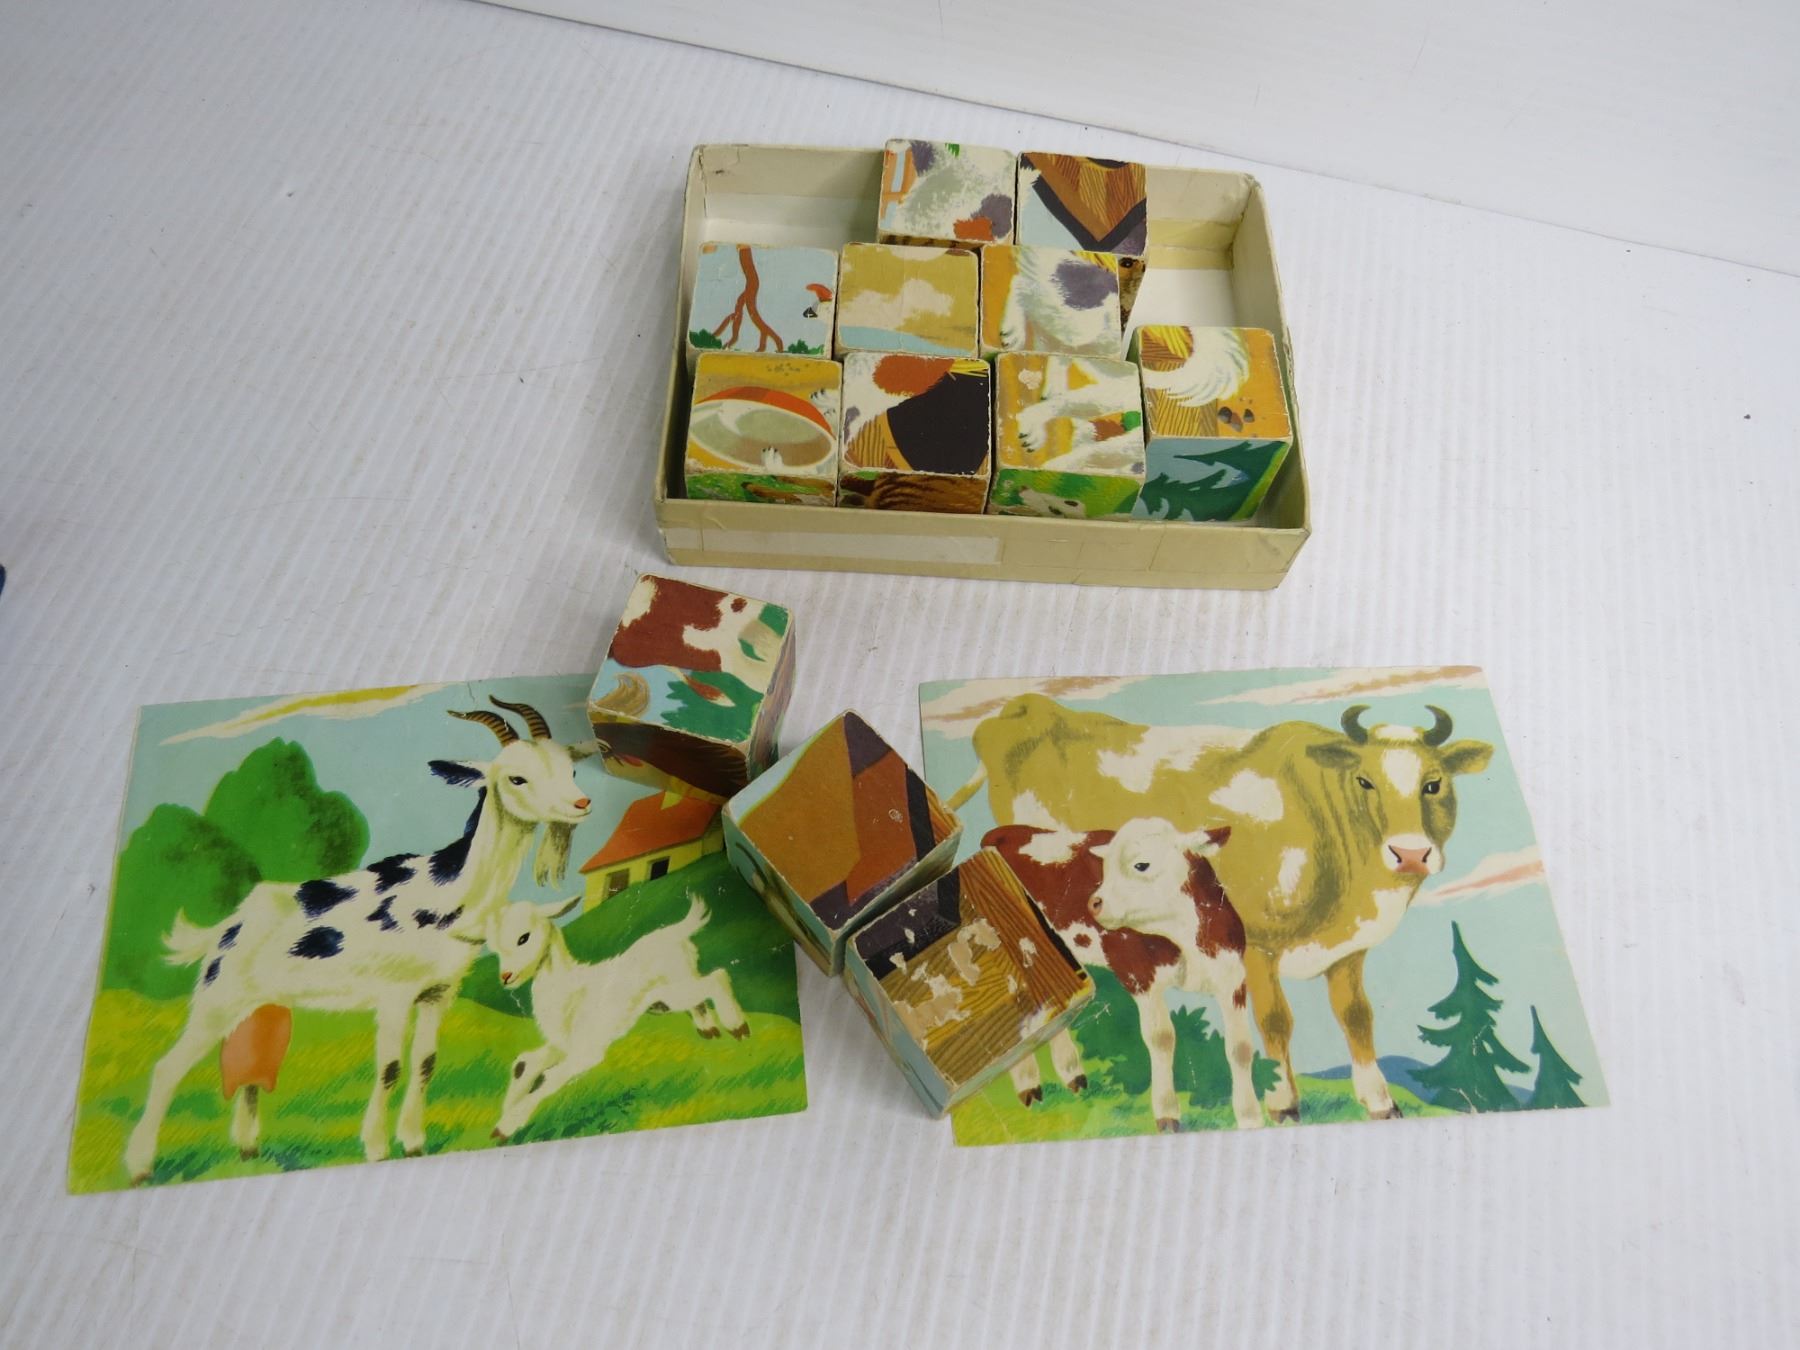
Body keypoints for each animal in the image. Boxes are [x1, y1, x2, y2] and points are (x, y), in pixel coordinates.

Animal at [986, 823, 1260, 1131]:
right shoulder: (1138, 975)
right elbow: (1161, 1038)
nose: (1094, 903)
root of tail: (999, 833)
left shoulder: (1231, 976)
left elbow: (1241, 1047)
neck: (1186, 937)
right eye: (1105, 868)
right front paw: (1166, 1113)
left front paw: (1249, 1115)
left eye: (1141, 864)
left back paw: (1072, 1076)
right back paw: (1028, 1086)